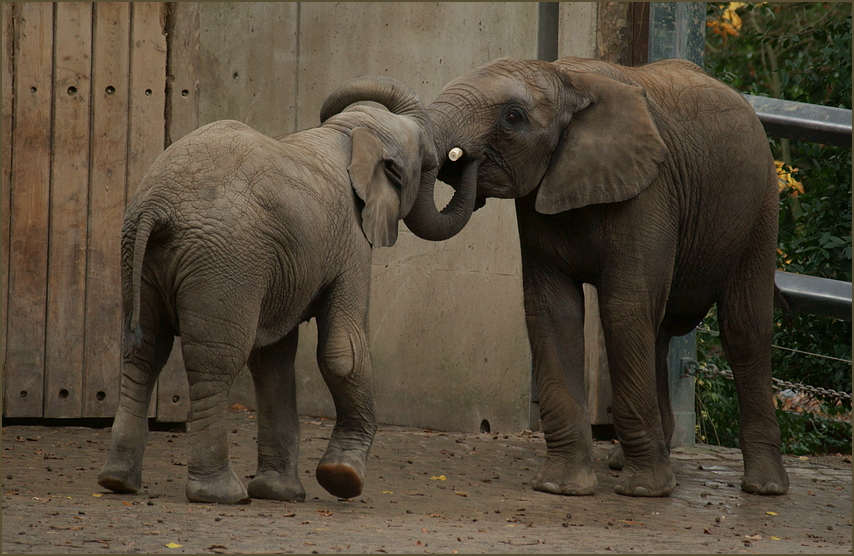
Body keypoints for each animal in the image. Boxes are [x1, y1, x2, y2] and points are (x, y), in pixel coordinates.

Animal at [99, 75, 448, 504]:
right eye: (429, 164)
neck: (350, 132)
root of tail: (157, 205)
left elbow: (272, 361)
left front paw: (279, 493)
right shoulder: (351, 242)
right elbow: (343, 350)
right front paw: (343, 479)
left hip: (139, 254)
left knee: (143, 353)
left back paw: (118, 482)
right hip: (224, 259)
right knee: (214, 362)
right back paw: (221, 494)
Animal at [346, 56, 788, 498]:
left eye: (513, 117)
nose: (465, 160)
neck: (567, 78)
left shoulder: (650, 192)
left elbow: (625, 309)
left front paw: (643, 492)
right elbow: (553, 311)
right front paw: (561, 487)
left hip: (761, 203)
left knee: (743, 329)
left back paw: (763, 487)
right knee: (659, 331)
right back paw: (624, 461)